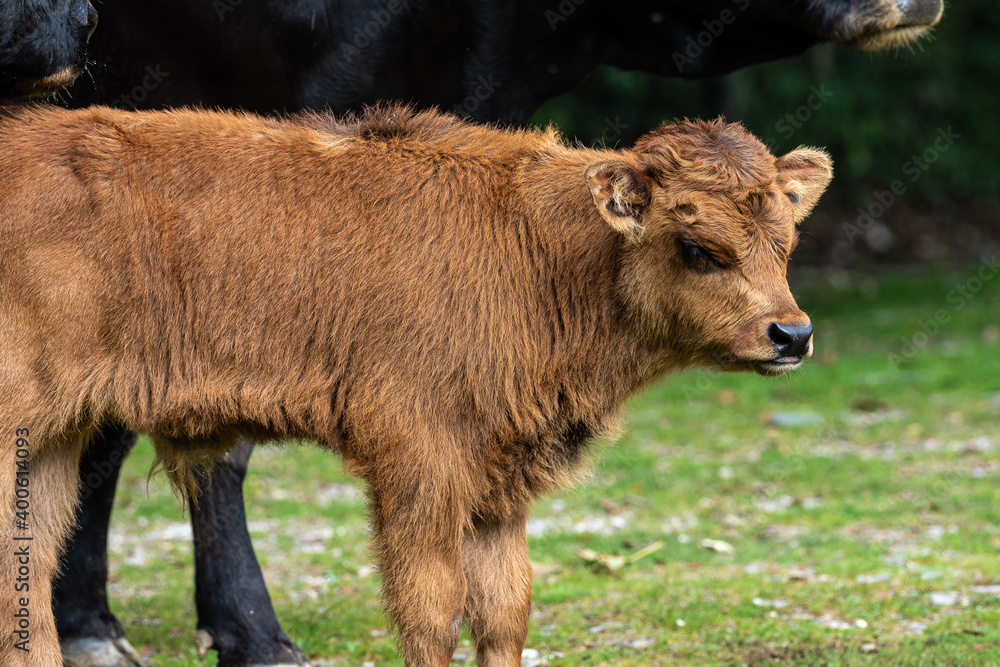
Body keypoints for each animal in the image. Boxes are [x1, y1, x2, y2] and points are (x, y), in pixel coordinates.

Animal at [52, 1, 940, 665]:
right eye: (697, 246)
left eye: (785, 239)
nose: (791, 334)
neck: (543, 251)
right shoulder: (418, 470)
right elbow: (427, 609)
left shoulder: (501, 479)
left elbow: (505, 607)